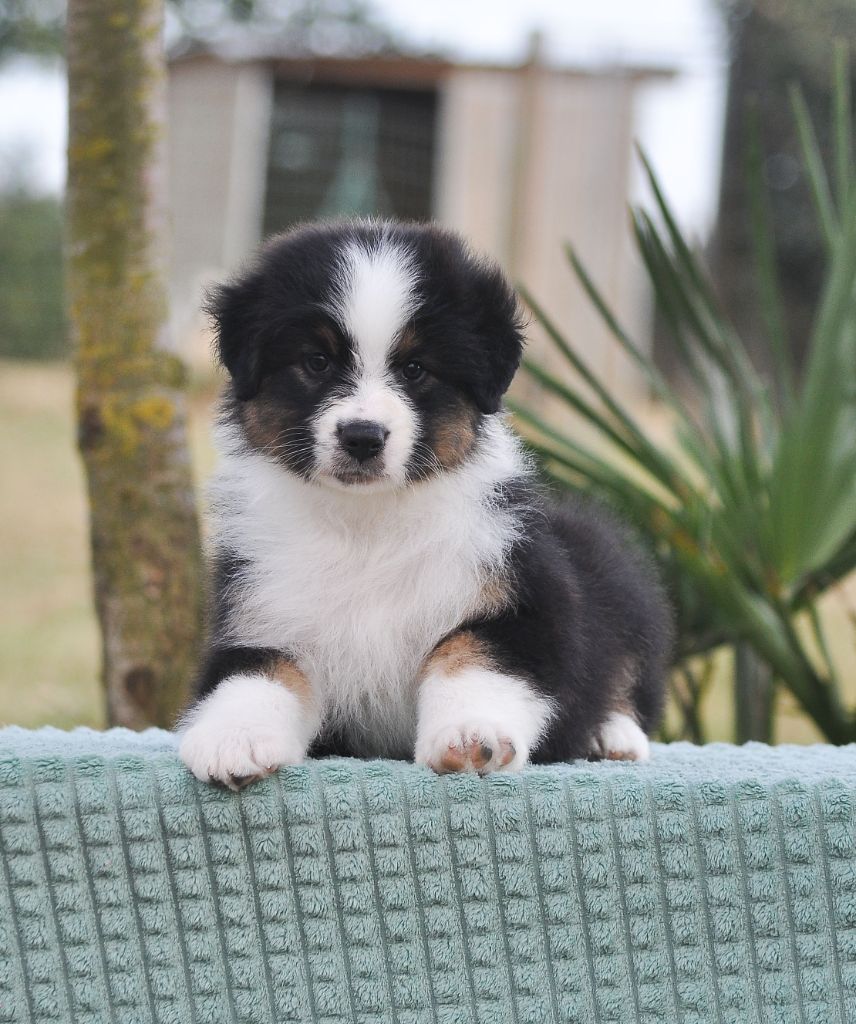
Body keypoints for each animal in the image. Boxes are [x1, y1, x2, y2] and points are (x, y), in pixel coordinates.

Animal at [178, 219, 673, 789]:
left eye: (415, 369)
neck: (366, 525)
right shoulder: (258, 614)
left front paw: (471, 736)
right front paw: (233, 740)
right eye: (316, 362)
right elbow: (256, 675)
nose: (363, 437)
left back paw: (611, 736)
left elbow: (469, 655)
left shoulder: (526, 602)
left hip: (611, 573)